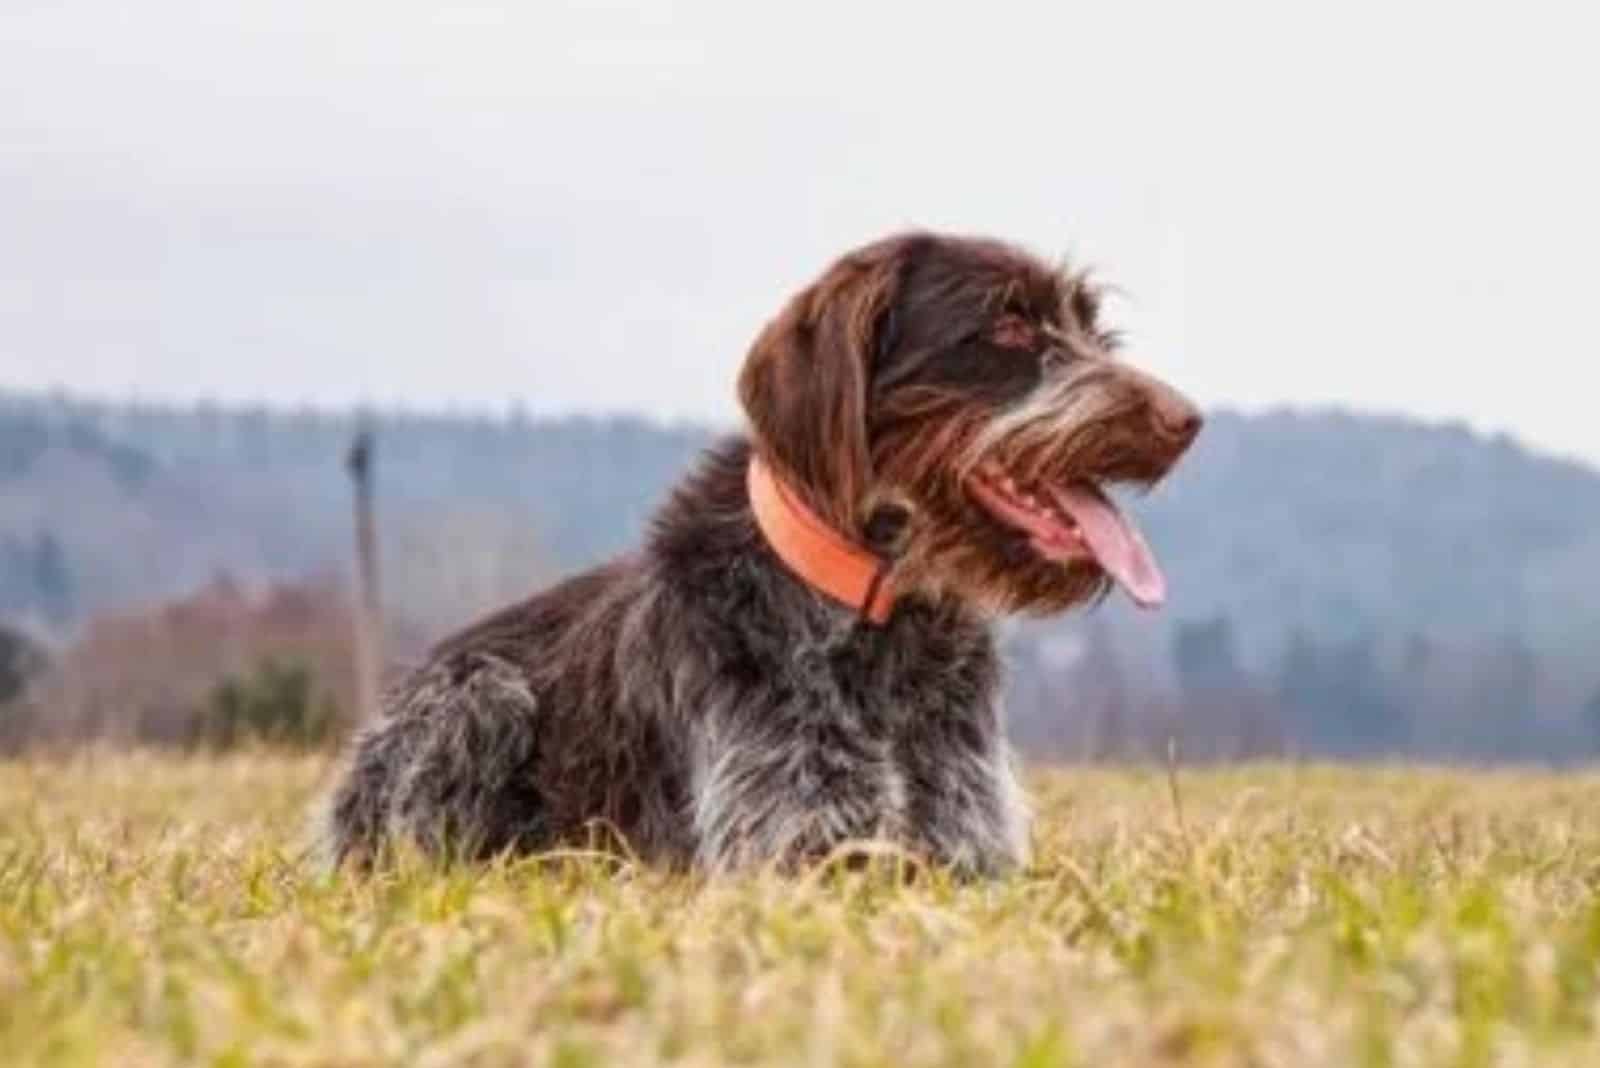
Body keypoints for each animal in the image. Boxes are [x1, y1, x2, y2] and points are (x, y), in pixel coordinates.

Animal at [321, 233, 1203, 876]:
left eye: (1096, 333)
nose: (1187, 419)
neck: (880, 619)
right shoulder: (793, 847)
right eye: (1010, 327)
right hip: (477, 694)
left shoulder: (970, 849)